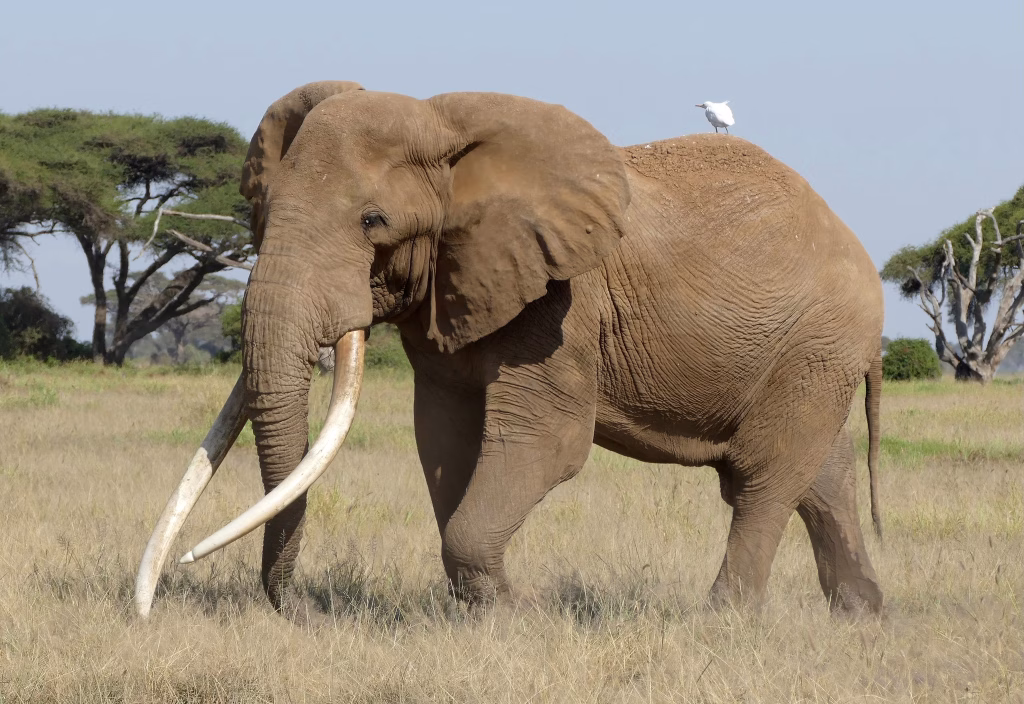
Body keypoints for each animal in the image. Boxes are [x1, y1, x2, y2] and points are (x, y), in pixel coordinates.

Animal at [135, 80, 886, 619]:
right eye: (260, 214)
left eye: (373, 221)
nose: (301, 611)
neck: (446, 132)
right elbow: (445, 440)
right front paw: (485, 613)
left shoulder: (563, 303)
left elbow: (545, 442)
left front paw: (518, 616)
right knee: (822, 473)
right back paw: (861, 615)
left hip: (818, 344)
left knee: (763, 478)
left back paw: (724, 620)